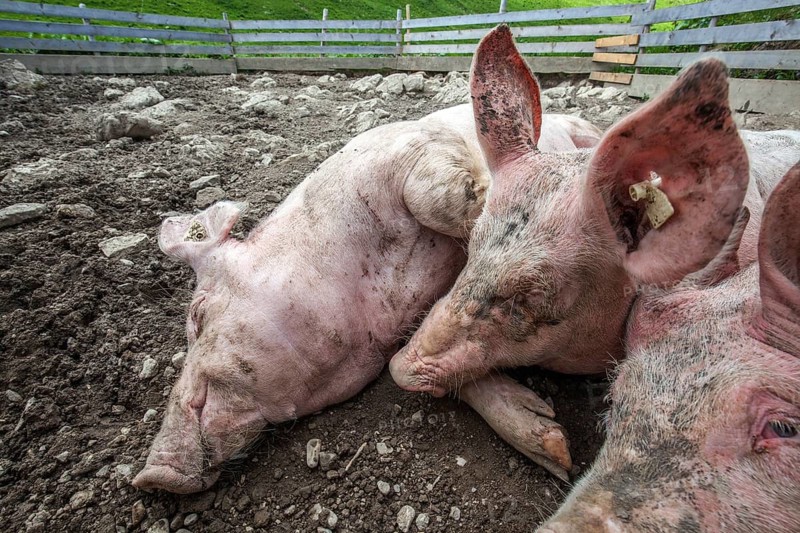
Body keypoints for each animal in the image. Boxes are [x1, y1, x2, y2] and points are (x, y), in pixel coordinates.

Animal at [132, 97, 603, 491]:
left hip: (583, 128)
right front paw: (557, 452)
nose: (151, 476)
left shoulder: (411, 149)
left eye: (197, 316)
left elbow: (437, 199)